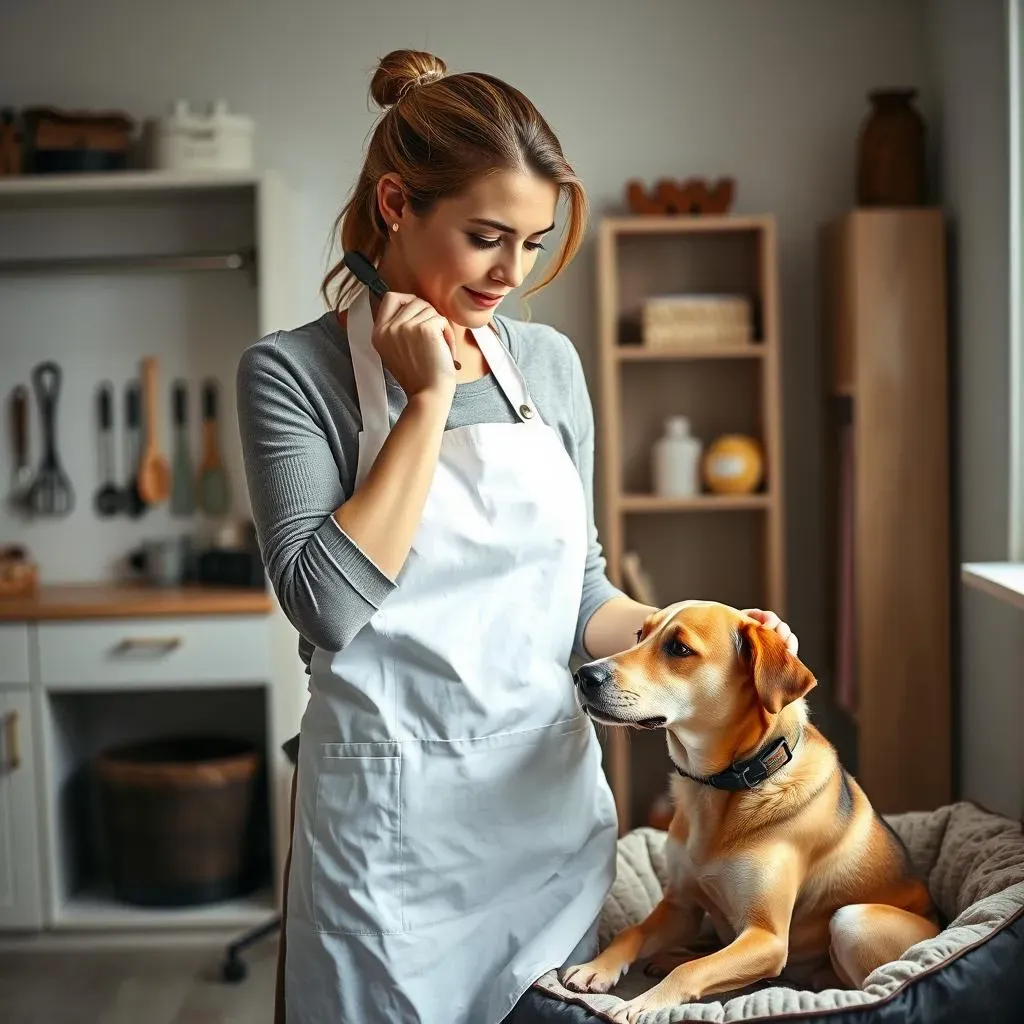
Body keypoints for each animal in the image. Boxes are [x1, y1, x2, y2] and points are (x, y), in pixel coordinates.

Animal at [565, 598, 937, 1024]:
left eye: (678, 648)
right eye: (640, 634)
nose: (584, 675)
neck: (719, 789)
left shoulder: (767, 937)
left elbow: (692, 969)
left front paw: (642, 1004)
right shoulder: (680, 906)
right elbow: (634, 932)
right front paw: (598, 967)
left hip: (853, 921)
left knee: (858, 983)